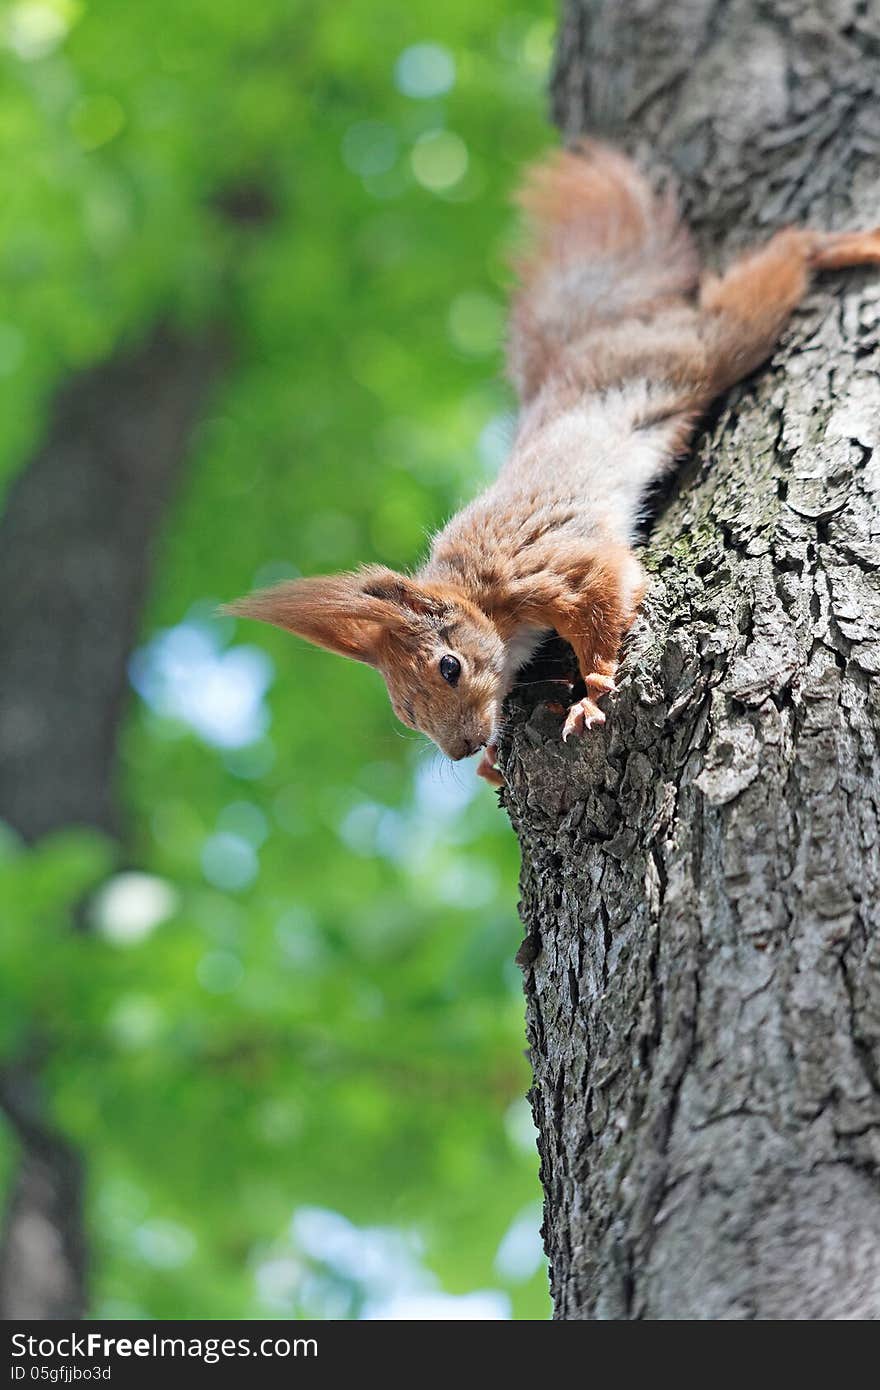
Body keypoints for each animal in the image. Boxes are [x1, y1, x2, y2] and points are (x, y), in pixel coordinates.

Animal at [226, 145, 878, 789]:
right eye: (405, 713)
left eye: (449, 666)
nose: (462, 749)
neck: (479, 596)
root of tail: (588, 342)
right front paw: (493, 761)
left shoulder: (551, 569)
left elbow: (604, 599)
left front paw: (591, 693)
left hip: (698, 350)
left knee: (784, 260)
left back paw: (848, 244)